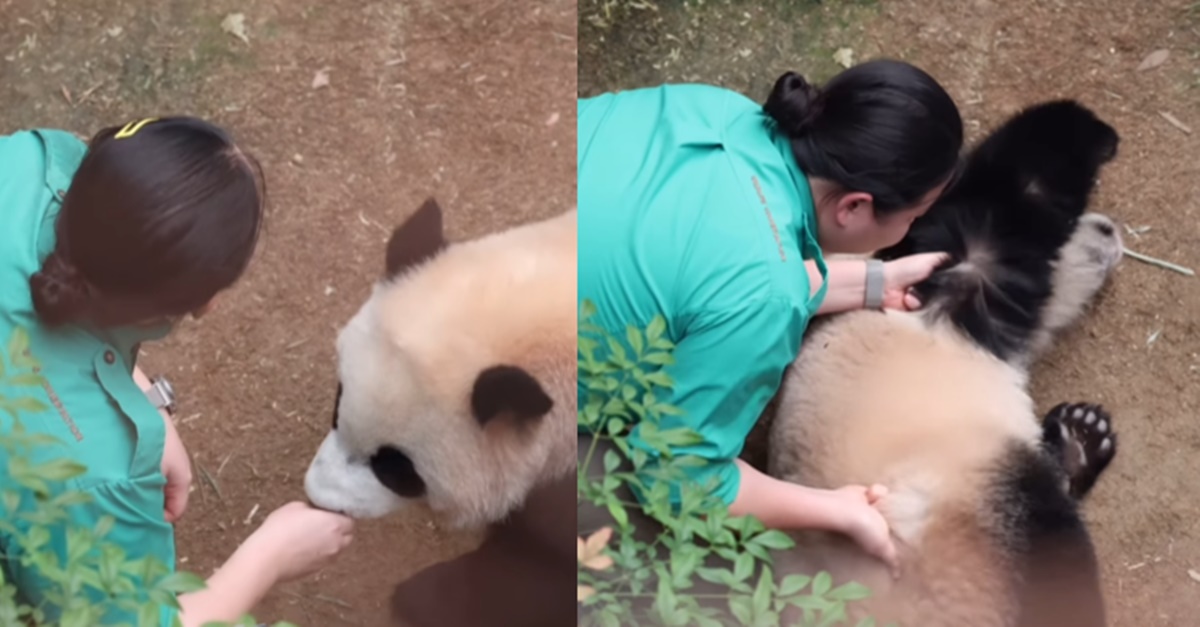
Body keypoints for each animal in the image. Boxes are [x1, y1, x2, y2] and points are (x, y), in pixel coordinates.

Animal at [768, 102, 1123, 624]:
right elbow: (1018, 188)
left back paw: (1079, 437)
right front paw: (1096, 136)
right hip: (976, 514)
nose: (1109, 233)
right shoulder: (956, 266)